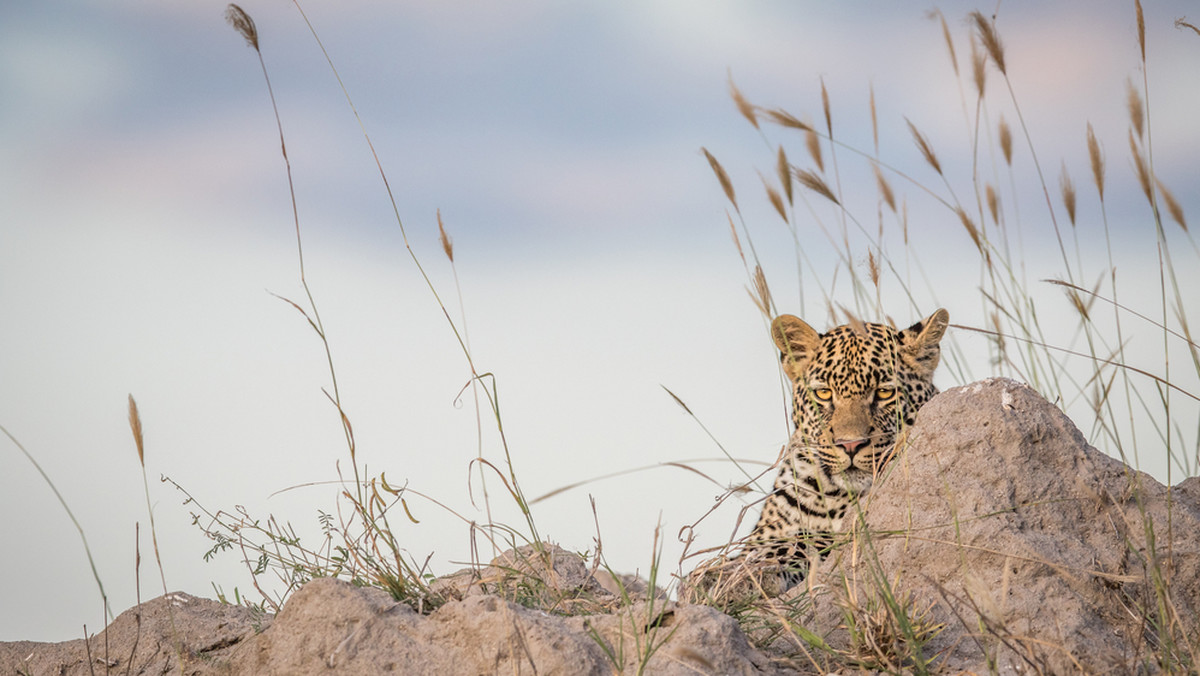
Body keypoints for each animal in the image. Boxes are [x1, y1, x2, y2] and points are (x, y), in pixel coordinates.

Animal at [691, 309, 950, 600]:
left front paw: (746, 573)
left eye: (884, 392)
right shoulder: (767, 531)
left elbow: (803, 542)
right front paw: (717, 572)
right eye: (824, 393)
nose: (851, 444)